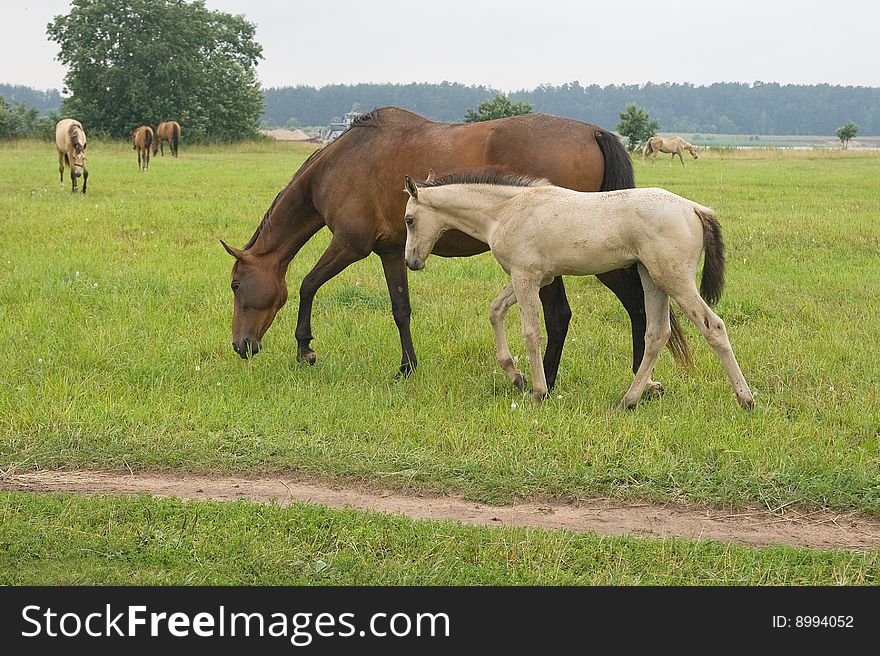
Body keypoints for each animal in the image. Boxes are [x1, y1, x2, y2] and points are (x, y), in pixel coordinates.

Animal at [218, 108, 688, 392]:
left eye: (237, 285)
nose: (241, 345)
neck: (341, 162)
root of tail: (591, 131)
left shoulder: (348, 245)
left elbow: (307, 286)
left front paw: (305, 349)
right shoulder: (393, 252)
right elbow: (400, 309)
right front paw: (407, 368)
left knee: (610, 309)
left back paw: (592, 381)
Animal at [402, 172, 752, 412]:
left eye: (408, 220)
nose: (411, 261)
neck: (505, 210)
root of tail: (694, 208)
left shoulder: (525, 277)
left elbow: (531, 332)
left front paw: (538, 392)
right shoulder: (537, 279)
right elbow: (495, 310)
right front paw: (515, 375)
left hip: (674, 279)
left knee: (713, 327)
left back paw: (745, 398)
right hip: (652, 278)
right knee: (657, 334)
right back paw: (629, 399)